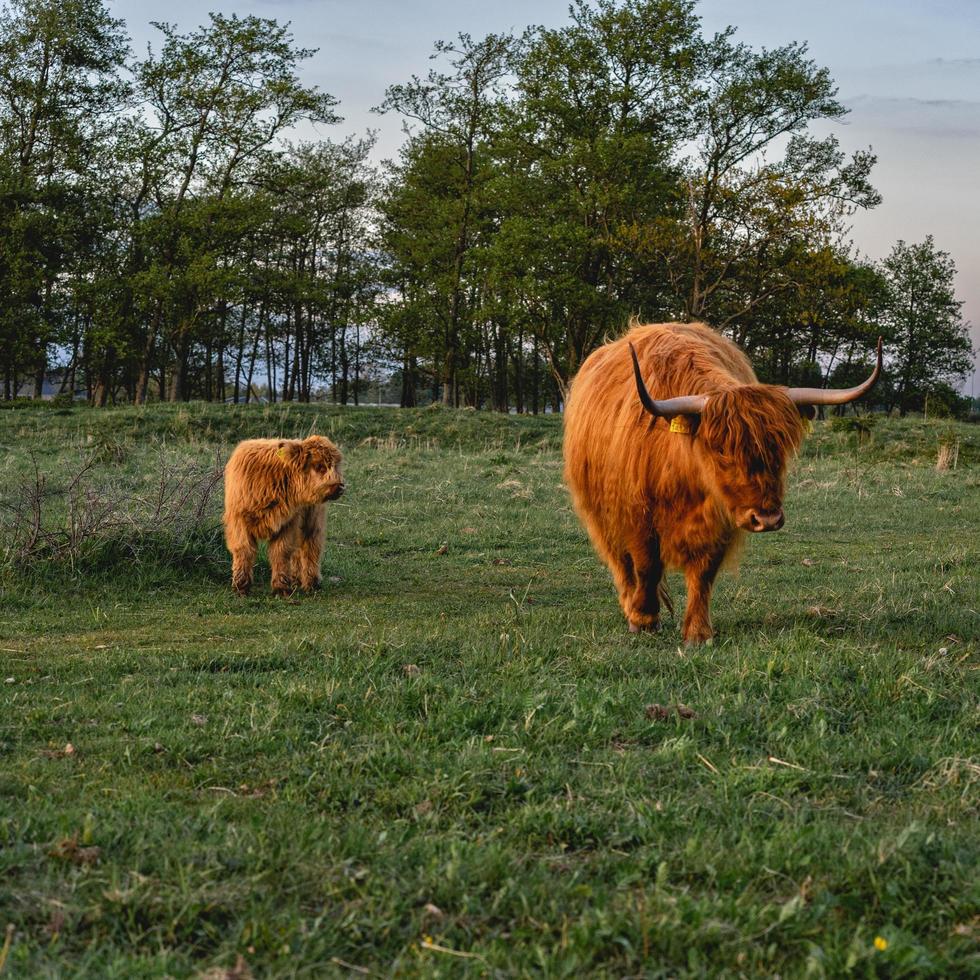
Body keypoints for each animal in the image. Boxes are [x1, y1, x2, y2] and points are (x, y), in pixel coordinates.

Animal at [224, 436, 346, 596]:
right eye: (320, 466)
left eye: (336, 466)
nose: (340, 486)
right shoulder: (239, 521)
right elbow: (244, 550)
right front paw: (241, 587)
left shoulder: (287, 523)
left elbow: (281, 552)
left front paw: (281, 588)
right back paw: (296, 580)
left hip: (312, 519)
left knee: (310, 546)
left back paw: (311, 583)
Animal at [564, 320, 884, 644]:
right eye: (720, 450)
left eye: (779, 447)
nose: (767, 519)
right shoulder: (637, 516)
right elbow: (646, 566)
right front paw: (644, 619)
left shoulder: (720, 521)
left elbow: (703, 574)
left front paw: (697, 632)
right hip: (602, 516)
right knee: (622, 565)